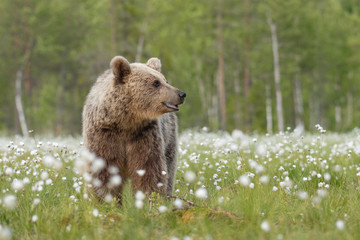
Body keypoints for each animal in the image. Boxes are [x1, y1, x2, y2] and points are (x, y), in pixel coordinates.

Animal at [82, 56, 186, 204]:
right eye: (156, 83)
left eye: (165, 80)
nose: (181, 94)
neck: (126, 122)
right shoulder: (104, 134)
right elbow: (103, 169)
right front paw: (104, 200)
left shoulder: (144, 134)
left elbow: (149, 168)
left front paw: (149, 199)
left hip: (169, 136)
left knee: (169, 167)